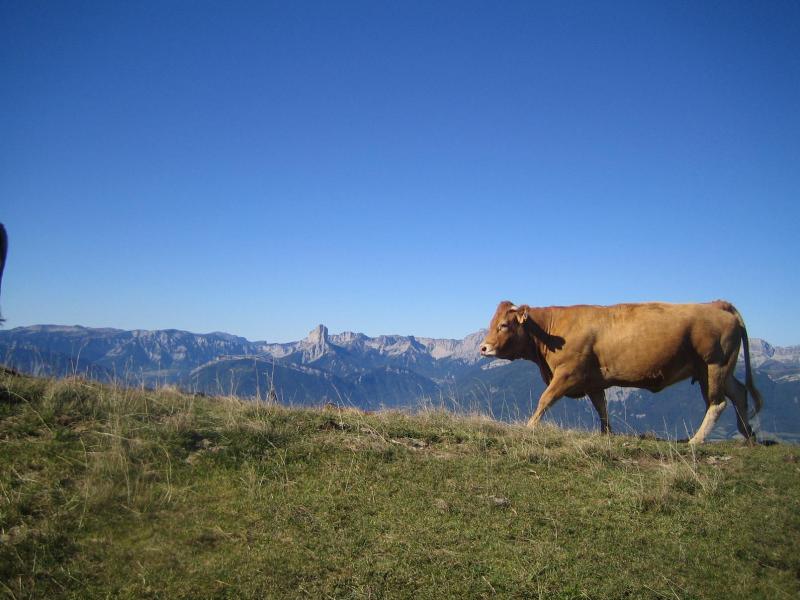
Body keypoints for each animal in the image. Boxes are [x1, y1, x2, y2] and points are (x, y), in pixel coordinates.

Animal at [479, 300, 763, 444]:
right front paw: (606, 434)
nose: (483, 347)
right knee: (739, 392)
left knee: (717, 403)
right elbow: (601, 407)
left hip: (714, 365)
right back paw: (748, 434)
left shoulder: (568, 373)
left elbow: (545, 399)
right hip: (714, 370)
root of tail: (717, 304)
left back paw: (696, 441)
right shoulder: (593, 381)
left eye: (504, 325)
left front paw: (529, 427)